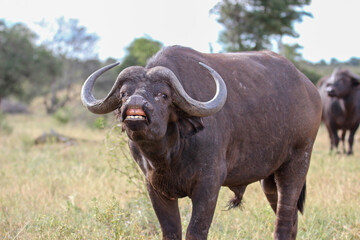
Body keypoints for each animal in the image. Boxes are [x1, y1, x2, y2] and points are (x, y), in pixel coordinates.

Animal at [81, 46, 320, 239]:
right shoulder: (154, 188)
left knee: (284, 218)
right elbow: (171, 231)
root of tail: (310, 90)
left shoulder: (209, 184)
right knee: (291, 220)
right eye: (124, 93)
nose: (135, 104)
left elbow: (195, 231)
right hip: (269, 178)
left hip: (297, 162)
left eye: (163, 95)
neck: (169, 154)